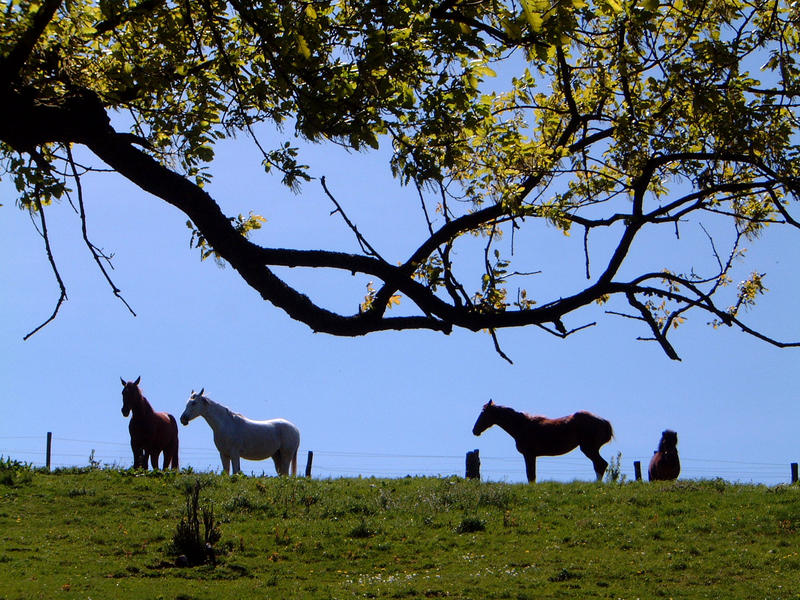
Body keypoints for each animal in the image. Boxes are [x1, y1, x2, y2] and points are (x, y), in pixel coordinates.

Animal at [472, 398, 616, 482]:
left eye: (484, 413)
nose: (475, 430)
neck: (522, 425)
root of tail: (605, 422)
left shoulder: (529, 455)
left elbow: (530, 475)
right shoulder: (532, 456)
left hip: (589, 449)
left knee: (600, 465)